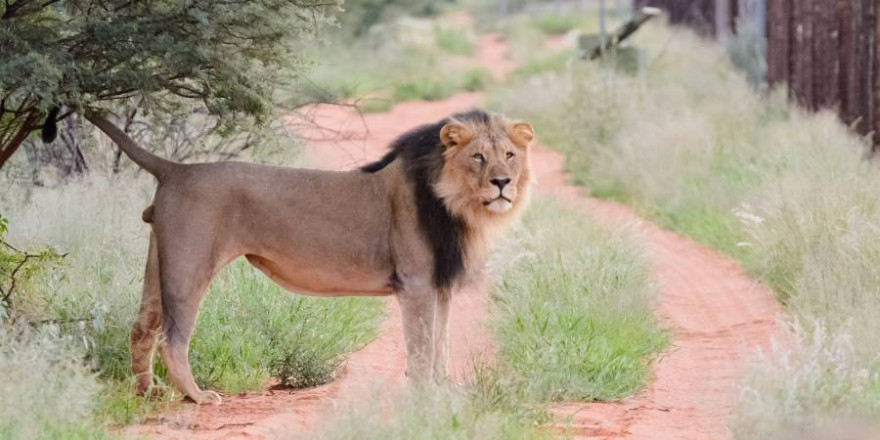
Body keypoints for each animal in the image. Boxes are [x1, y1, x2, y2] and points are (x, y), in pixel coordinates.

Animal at [84, 108, 536, 404]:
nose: (502, 183)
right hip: (189, 263)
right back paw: (197, 396)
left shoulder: (440, 286)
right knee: (172, 338)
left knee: (141, 327)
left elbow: (440, 343)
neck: (456, 204)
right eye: (478, 156)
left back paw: (148, 392)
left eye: (509, 156)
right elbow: (423, 346)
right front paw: (424, 397)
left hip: (159, 259)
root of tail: (176, 169)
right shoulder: (417, 284)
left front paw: (444, 391)